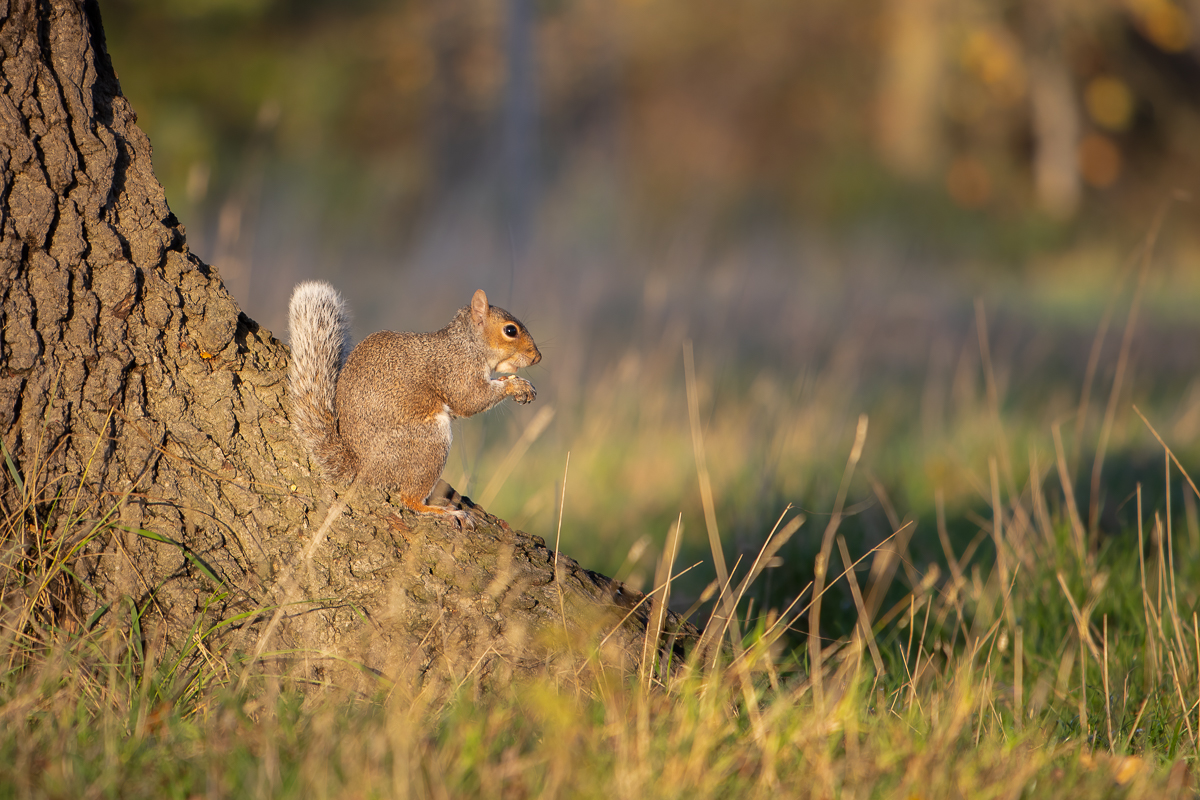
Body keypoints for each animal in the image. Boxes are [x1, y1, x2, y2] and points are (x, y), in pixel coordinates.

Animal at [285, 281, 540, 525]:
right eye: (510, 330)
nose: (537, 357)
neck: (468, 344)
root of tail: (362, 468)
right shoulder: (456, 371)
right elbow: (471, 399)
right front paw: (516, 386)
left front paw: (513, 381)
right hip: (428, 442)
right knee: (409, 499)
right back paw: (441, 511)